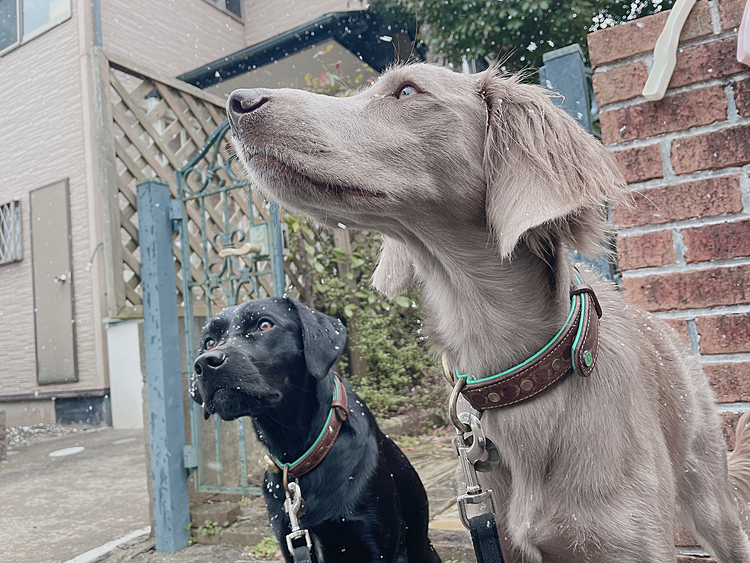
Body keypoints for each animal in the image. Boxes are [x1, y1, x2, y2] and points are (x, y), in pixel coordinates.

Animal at [191, 298, 444, 560]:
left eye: (264, 324)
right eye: (209, 341)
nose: (205, 363)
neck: (298, 455)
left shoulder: (380, 546)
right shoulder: (290, 543)